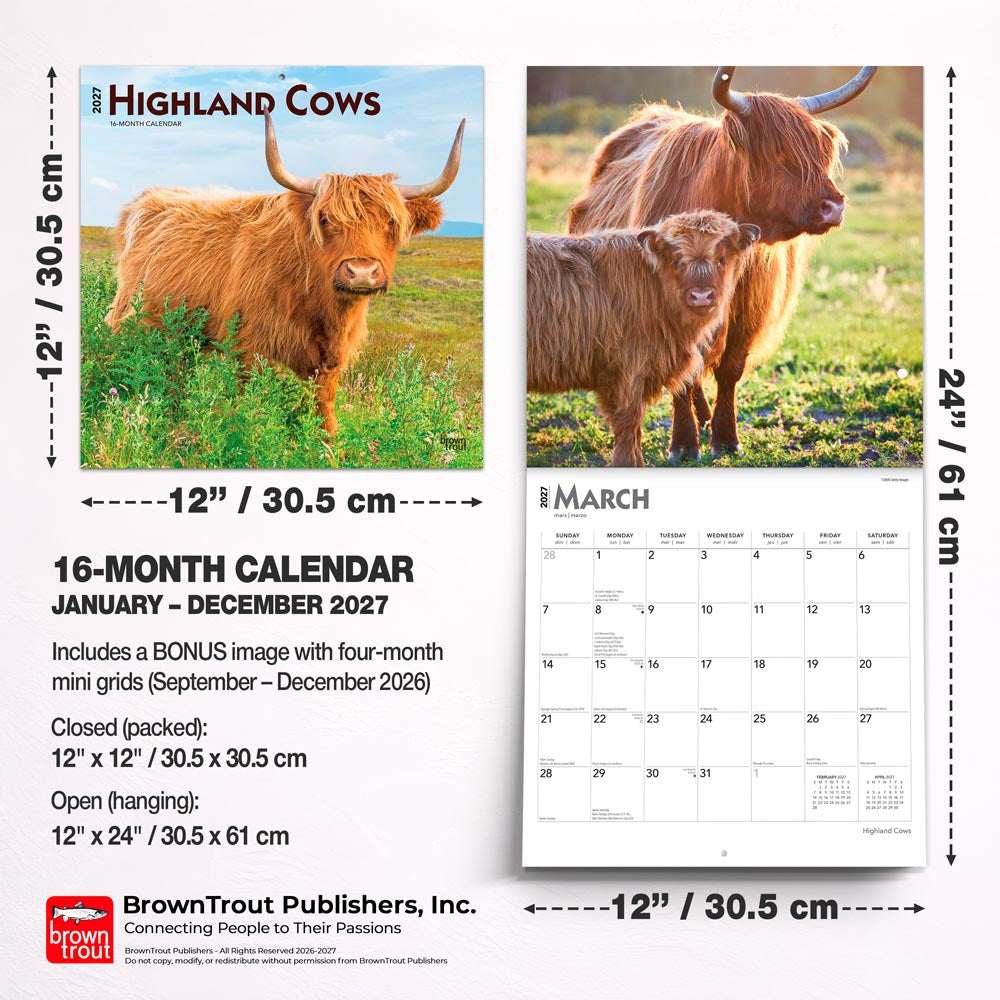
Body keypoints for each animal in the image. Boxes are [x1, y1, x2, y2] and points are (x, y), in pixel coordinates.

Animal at [106, 112, 465, 438]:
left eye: (391, 221)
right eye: (325, 219)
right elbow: (249, 403)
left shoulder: (329, 359)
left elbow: (323, 409)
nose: (361, 271)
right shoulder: (246, 345)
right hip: (131, 317)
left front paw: (329, 448)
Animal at [528, 210, 760, 467]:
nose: (701, 296)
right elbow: (629, 424)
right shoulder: (626, 371)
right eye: (677, 261)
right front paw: (627, 462)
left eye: (721, 259)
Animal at [567, 66, 877, 461]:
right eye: (778, 155)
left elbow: (730, 369)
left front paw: (726, 438)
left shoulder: (749, 307)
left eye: (822, 152)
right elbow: (684, 373)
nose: (833, 206)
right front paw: (684, 444)